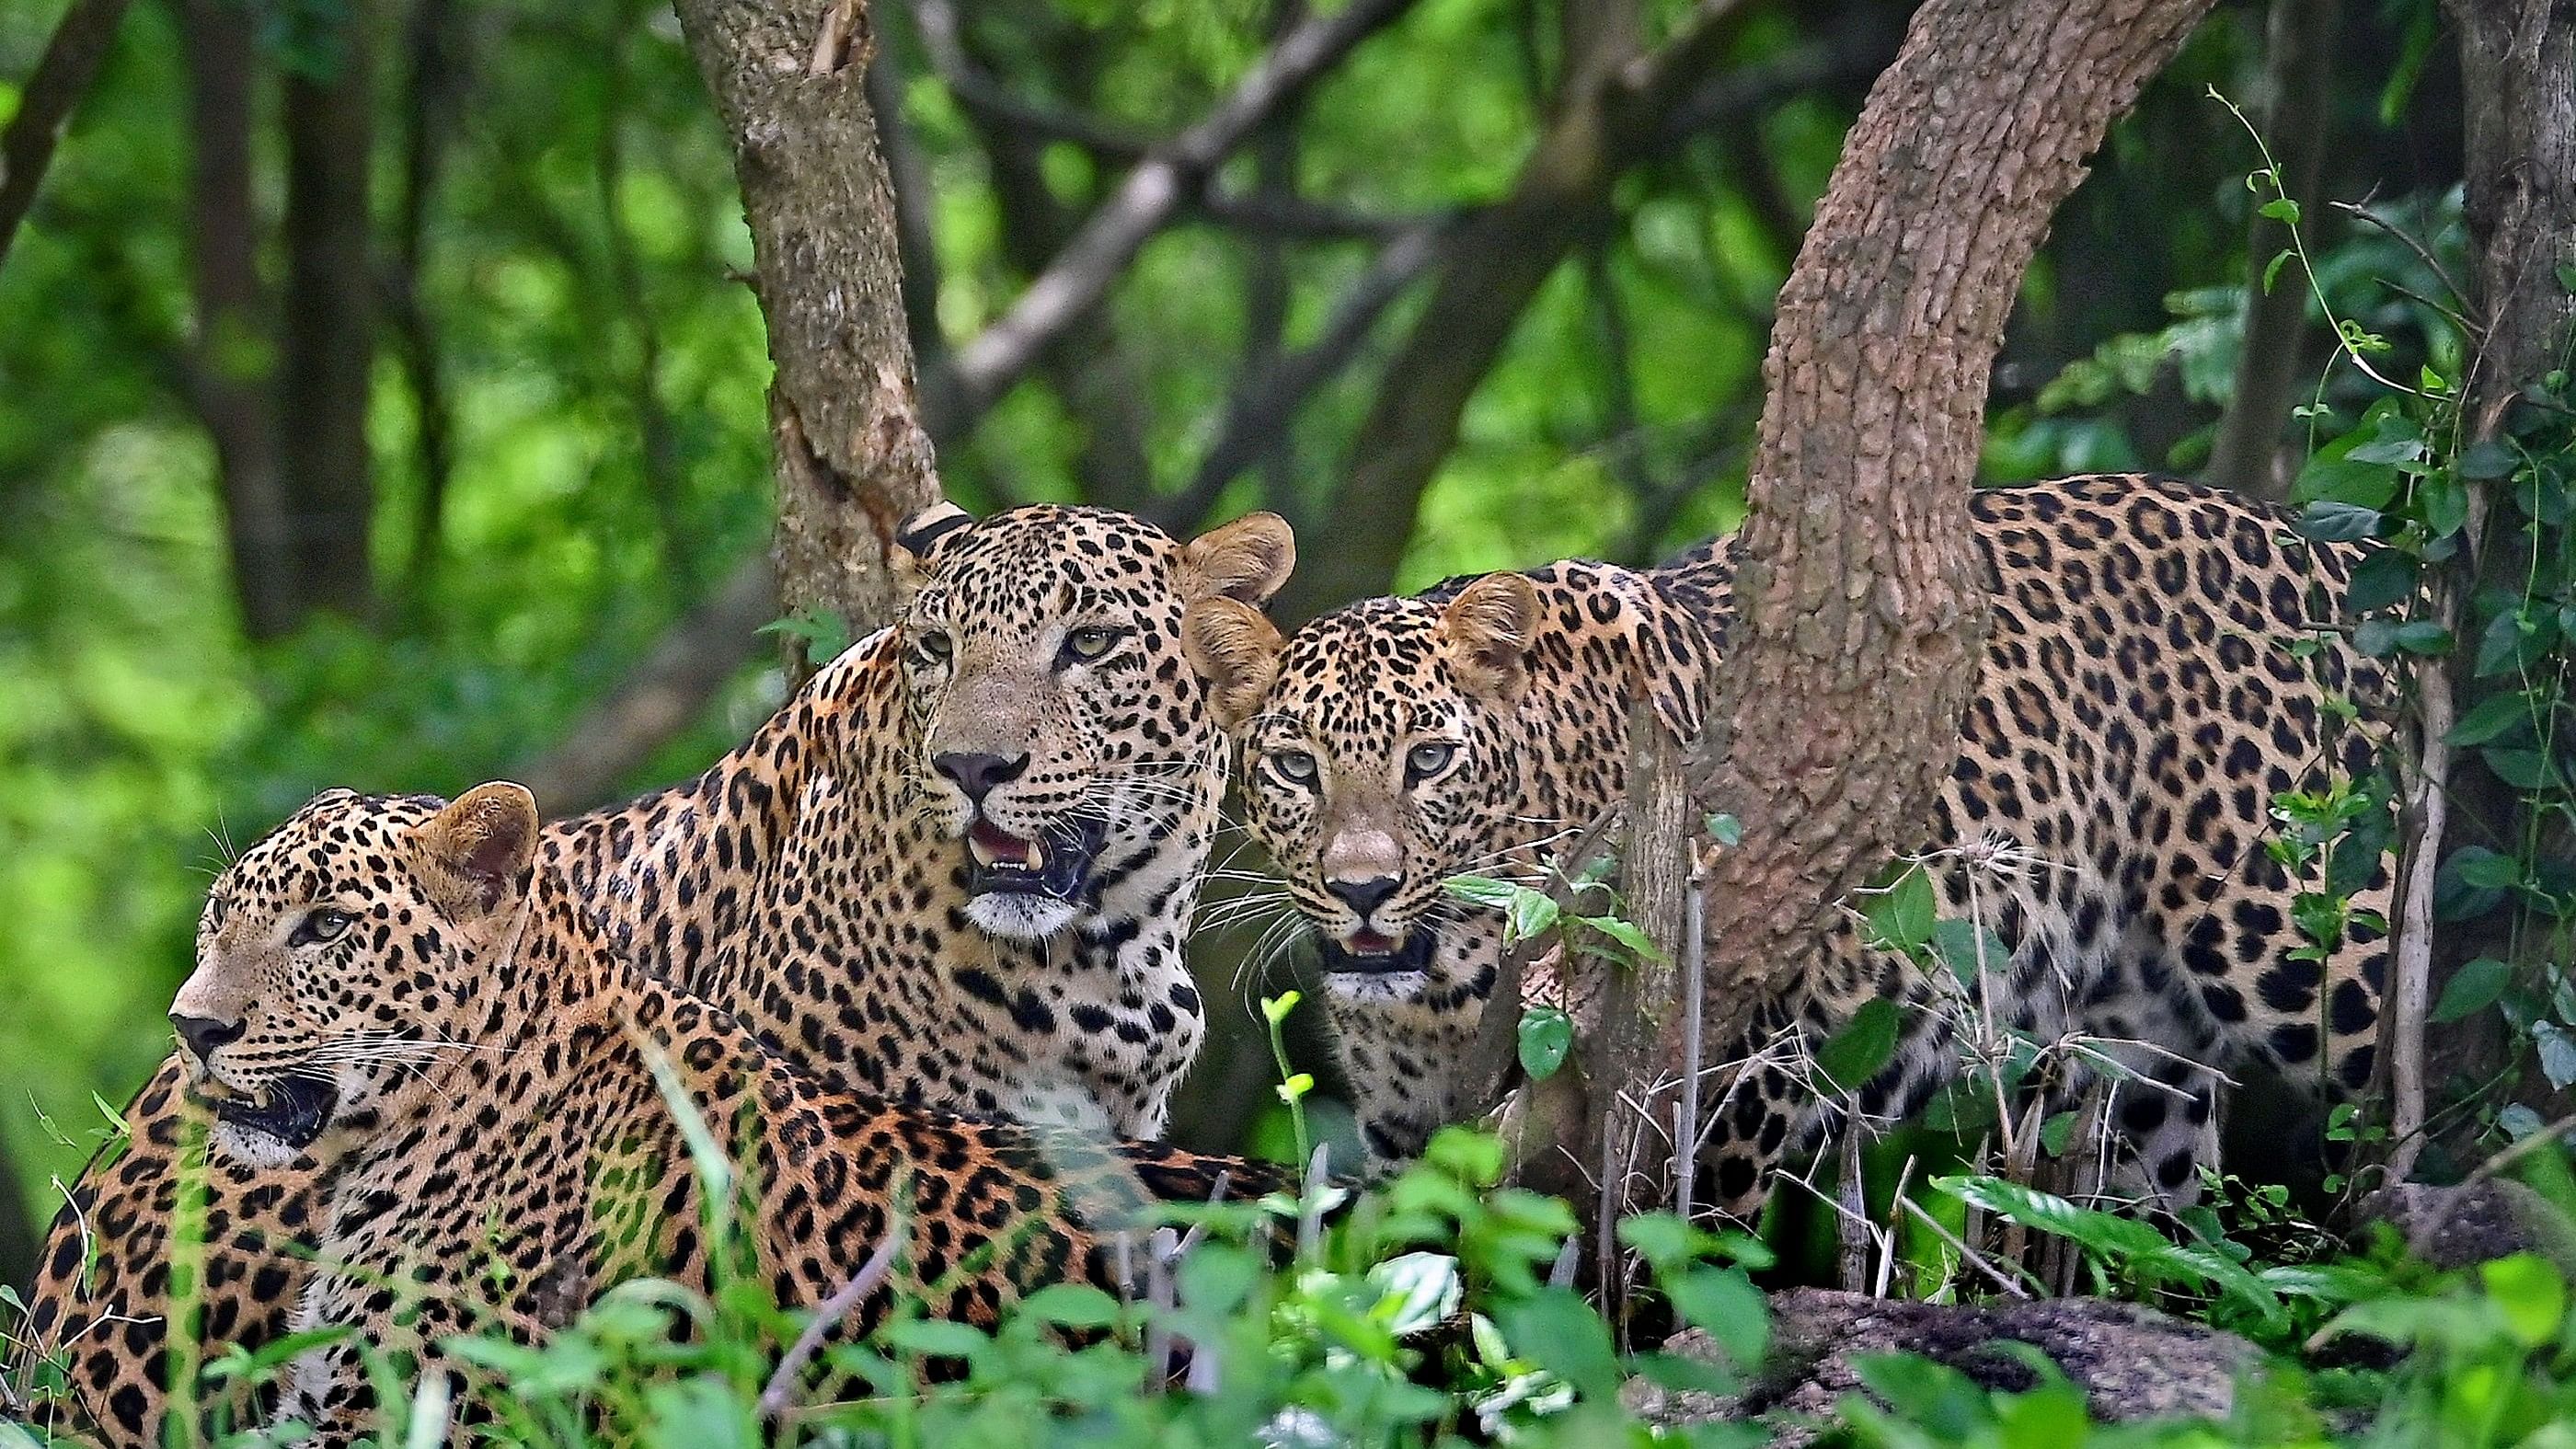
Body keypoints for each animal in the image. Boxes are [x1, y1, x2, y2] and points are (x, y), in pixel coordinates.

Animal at [1185, 471, 2390, 1206]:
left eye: (1430, 761)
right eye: (1294, 767)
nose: (1362, 890)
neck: (1444, 987)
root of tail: (2323, 544)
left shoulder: (1741, 1065)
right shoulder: (1410, 1137)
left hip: (2313, 945)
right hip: (2140, 1067)